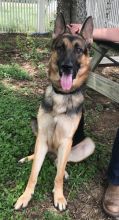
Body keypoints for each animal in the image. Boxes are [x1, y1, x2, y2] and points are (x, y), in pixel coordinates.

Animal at [14, 13, 95, 211]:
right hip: (36, 127)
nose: (66, 67)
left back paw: (63, 170)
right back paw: (29, 157)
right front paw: (25, 196)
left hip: (87, 145)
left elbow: (57, 176)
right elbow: (33, 174)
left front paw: (59, 196)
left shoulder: (66, 141)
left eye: (79, 50)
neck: (62, 96)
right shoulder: (42, 135)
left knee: (59, 162)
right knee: (44, 156)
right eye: (60, 47)